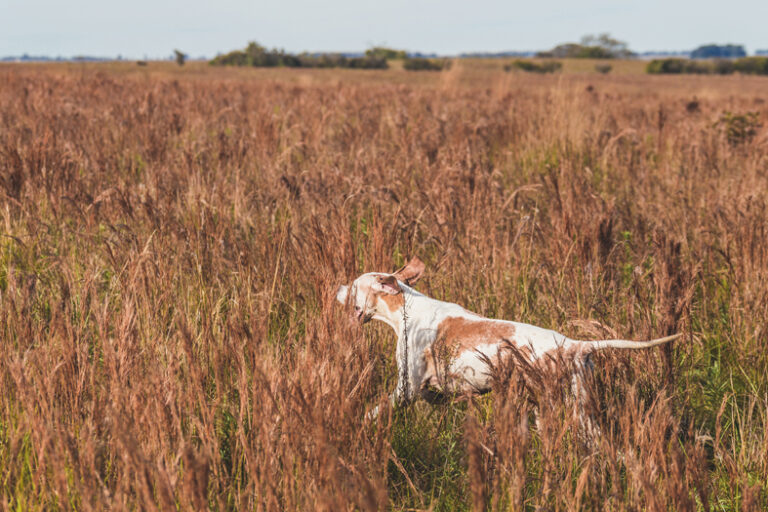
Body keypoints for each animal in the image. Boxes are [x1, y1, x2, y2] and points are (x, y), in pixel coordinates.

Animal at [332, 256, 680, 416]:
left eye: (354, 285)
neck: (408, 306)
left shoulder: (406, 388)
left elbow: (374, 412)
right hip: (582, 407)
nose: (337, 289)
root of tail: (573, 345)